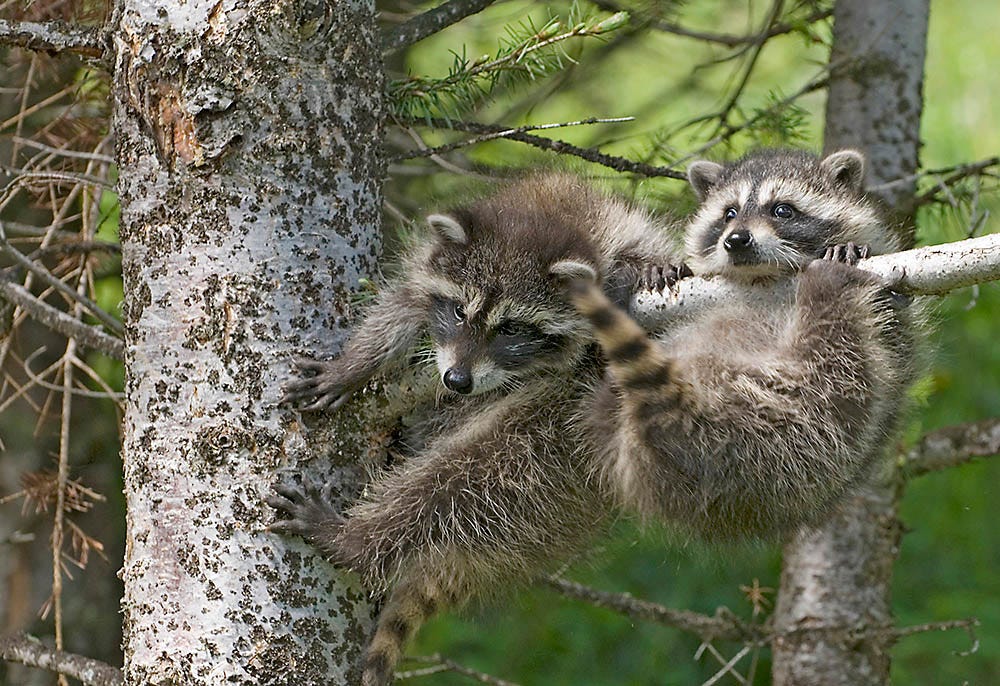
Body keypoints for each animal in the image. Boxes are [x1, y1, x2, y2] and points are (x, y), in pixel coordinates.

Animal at [560, 150, 916, 544]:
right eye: (729, 213)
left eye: (782, 210)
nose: (737, 240)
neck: (763, 278)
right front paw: (660, 269)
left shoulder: (894, 326)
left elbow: (889, 326)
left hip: (803, 431)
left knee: (836, 358)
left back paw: (826, 292)